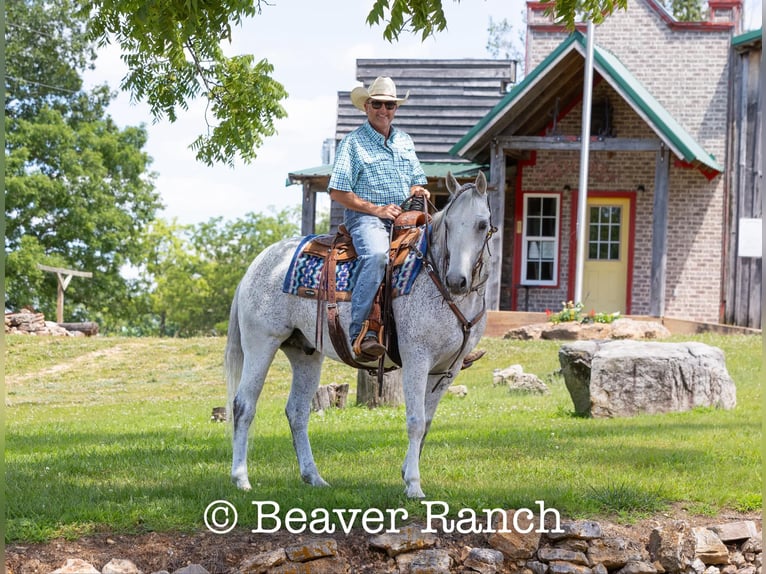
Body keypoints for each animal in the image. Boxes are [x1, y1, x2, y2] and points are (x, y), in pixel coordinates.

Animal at [225, 171, 495, 499]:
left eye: (482, 224)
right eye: (450, 224)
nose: (457, 280)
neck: (436, 281)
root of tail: (260, 262)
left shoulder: (447, 369)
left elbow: (428, 423)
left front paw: (408, 473)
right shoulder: (417, 360)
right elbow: (416, 422)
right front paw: (413, 485)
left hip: (305, 353)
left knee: (297, 412)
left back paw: (314, 477)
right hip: (261, 344)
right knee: (243, 406)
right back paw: (241, 478)